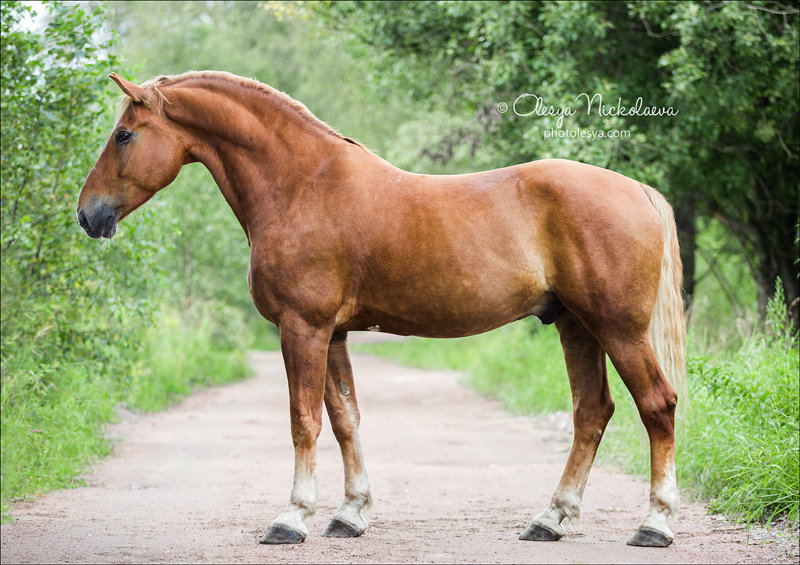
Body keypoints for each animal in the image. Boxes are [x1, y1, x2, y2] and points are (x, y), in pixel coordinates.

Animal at [76, 71, 688, 548]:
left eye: (124, 134)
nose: (88, 215)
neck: (301, 184)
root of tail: (639, 190)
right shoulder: (334, 334)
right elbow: (345, 418)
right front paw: (350, 514)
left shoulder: (303, 328)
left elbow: (304, 420)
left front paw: (292, 518)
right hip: (575, 325)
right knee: (592, 412)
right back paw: (552, 519)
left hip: (618, 329)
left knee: (657, 406)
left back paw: (655, 524)